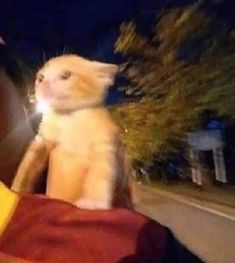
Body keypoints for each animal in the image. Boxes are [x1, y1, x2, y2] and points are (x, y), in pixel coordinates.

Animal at [11, 55, 132, 210]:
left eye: (65, 75)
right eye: (40, 77)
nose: (43, 83)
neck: (69, 120)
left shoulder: (104, 144)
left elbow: (101, 172)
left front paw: (93, 202)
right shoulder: (42, 140)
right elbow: (27, 165)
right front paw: (16, 188)